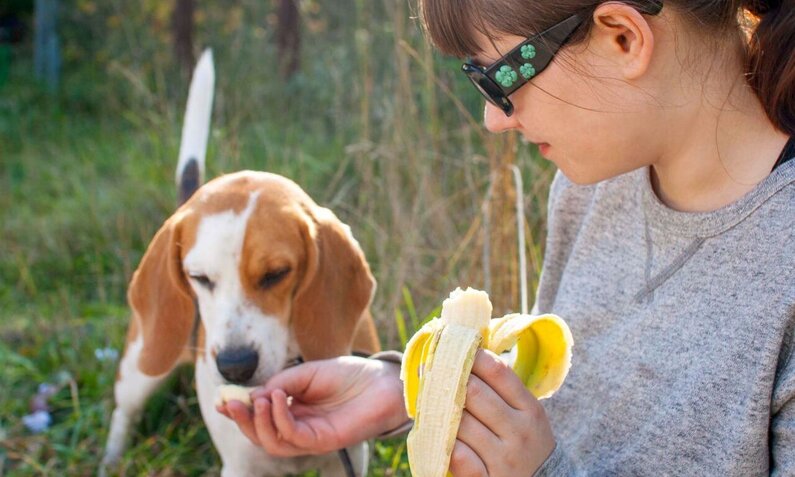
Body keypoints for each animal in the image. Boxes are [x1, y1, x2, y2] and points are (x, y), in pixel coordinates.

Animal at [101, 171, 380, 476]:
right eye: (199, 277)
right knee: (123, 412)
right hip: (139, 370)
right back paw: (111, 460)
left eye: (276, 274)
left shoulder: (350, 457)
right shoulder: (240, 467)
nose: (235, 367)